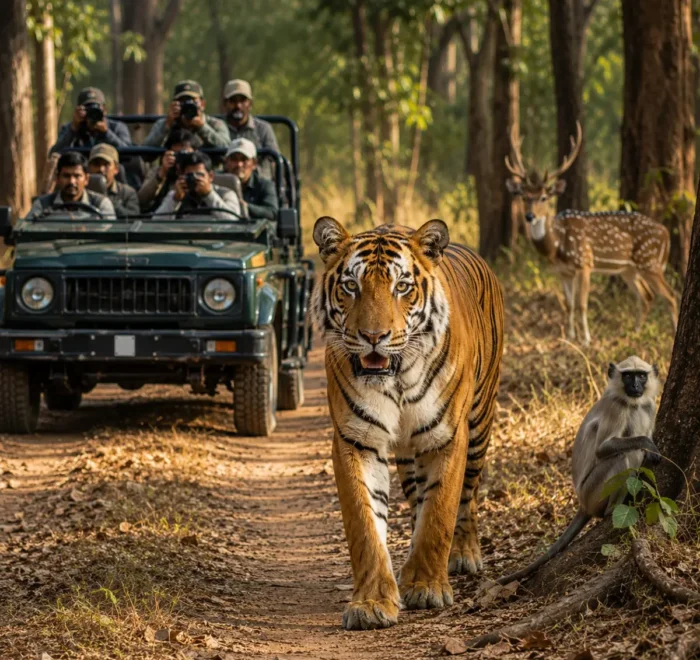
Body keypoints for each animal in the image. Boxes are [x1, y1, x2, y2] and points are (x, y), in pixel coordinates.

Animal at [311, 216, 505, 630]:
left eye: (401, 287)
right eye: (351, 286)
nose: (373, 337)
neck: (395, 378)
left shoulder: (446, 436)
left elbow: (440, 512)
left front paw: (427, 587)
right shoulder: (357, 439)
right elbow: (365, 525)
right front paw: (371, 603)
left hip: (480, 422)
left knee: (468, 496)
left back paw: (463, 553)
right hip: (407, 454)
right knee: (417, 498)